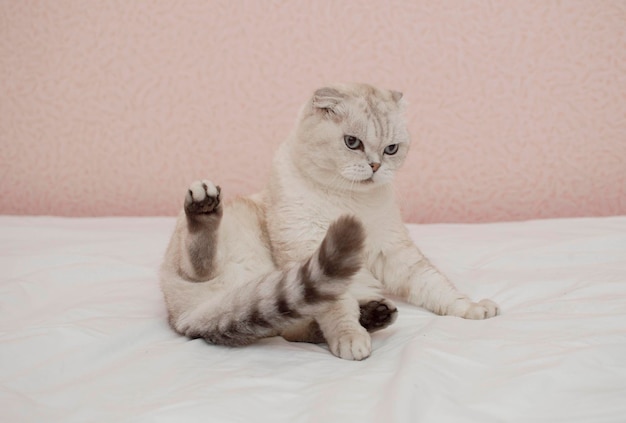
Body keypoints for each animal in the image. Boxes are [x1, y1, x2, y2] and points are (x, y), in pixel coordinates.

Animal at [160, 82, 498, 362]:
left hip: (279, 306)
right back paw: (203, 205)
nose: (375, 166)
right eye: (352, 143)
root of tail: (186, 321)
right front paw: (351, 340)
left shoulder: (394, 253)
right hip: (221, 253)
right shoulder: (312, 250)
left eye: (391, 149)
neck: (350, 200)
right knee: (200, 266)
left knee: (294, 330)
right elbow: (337, 311)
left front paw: (472, 308)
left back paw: (375, 315)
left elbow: (437, 286)